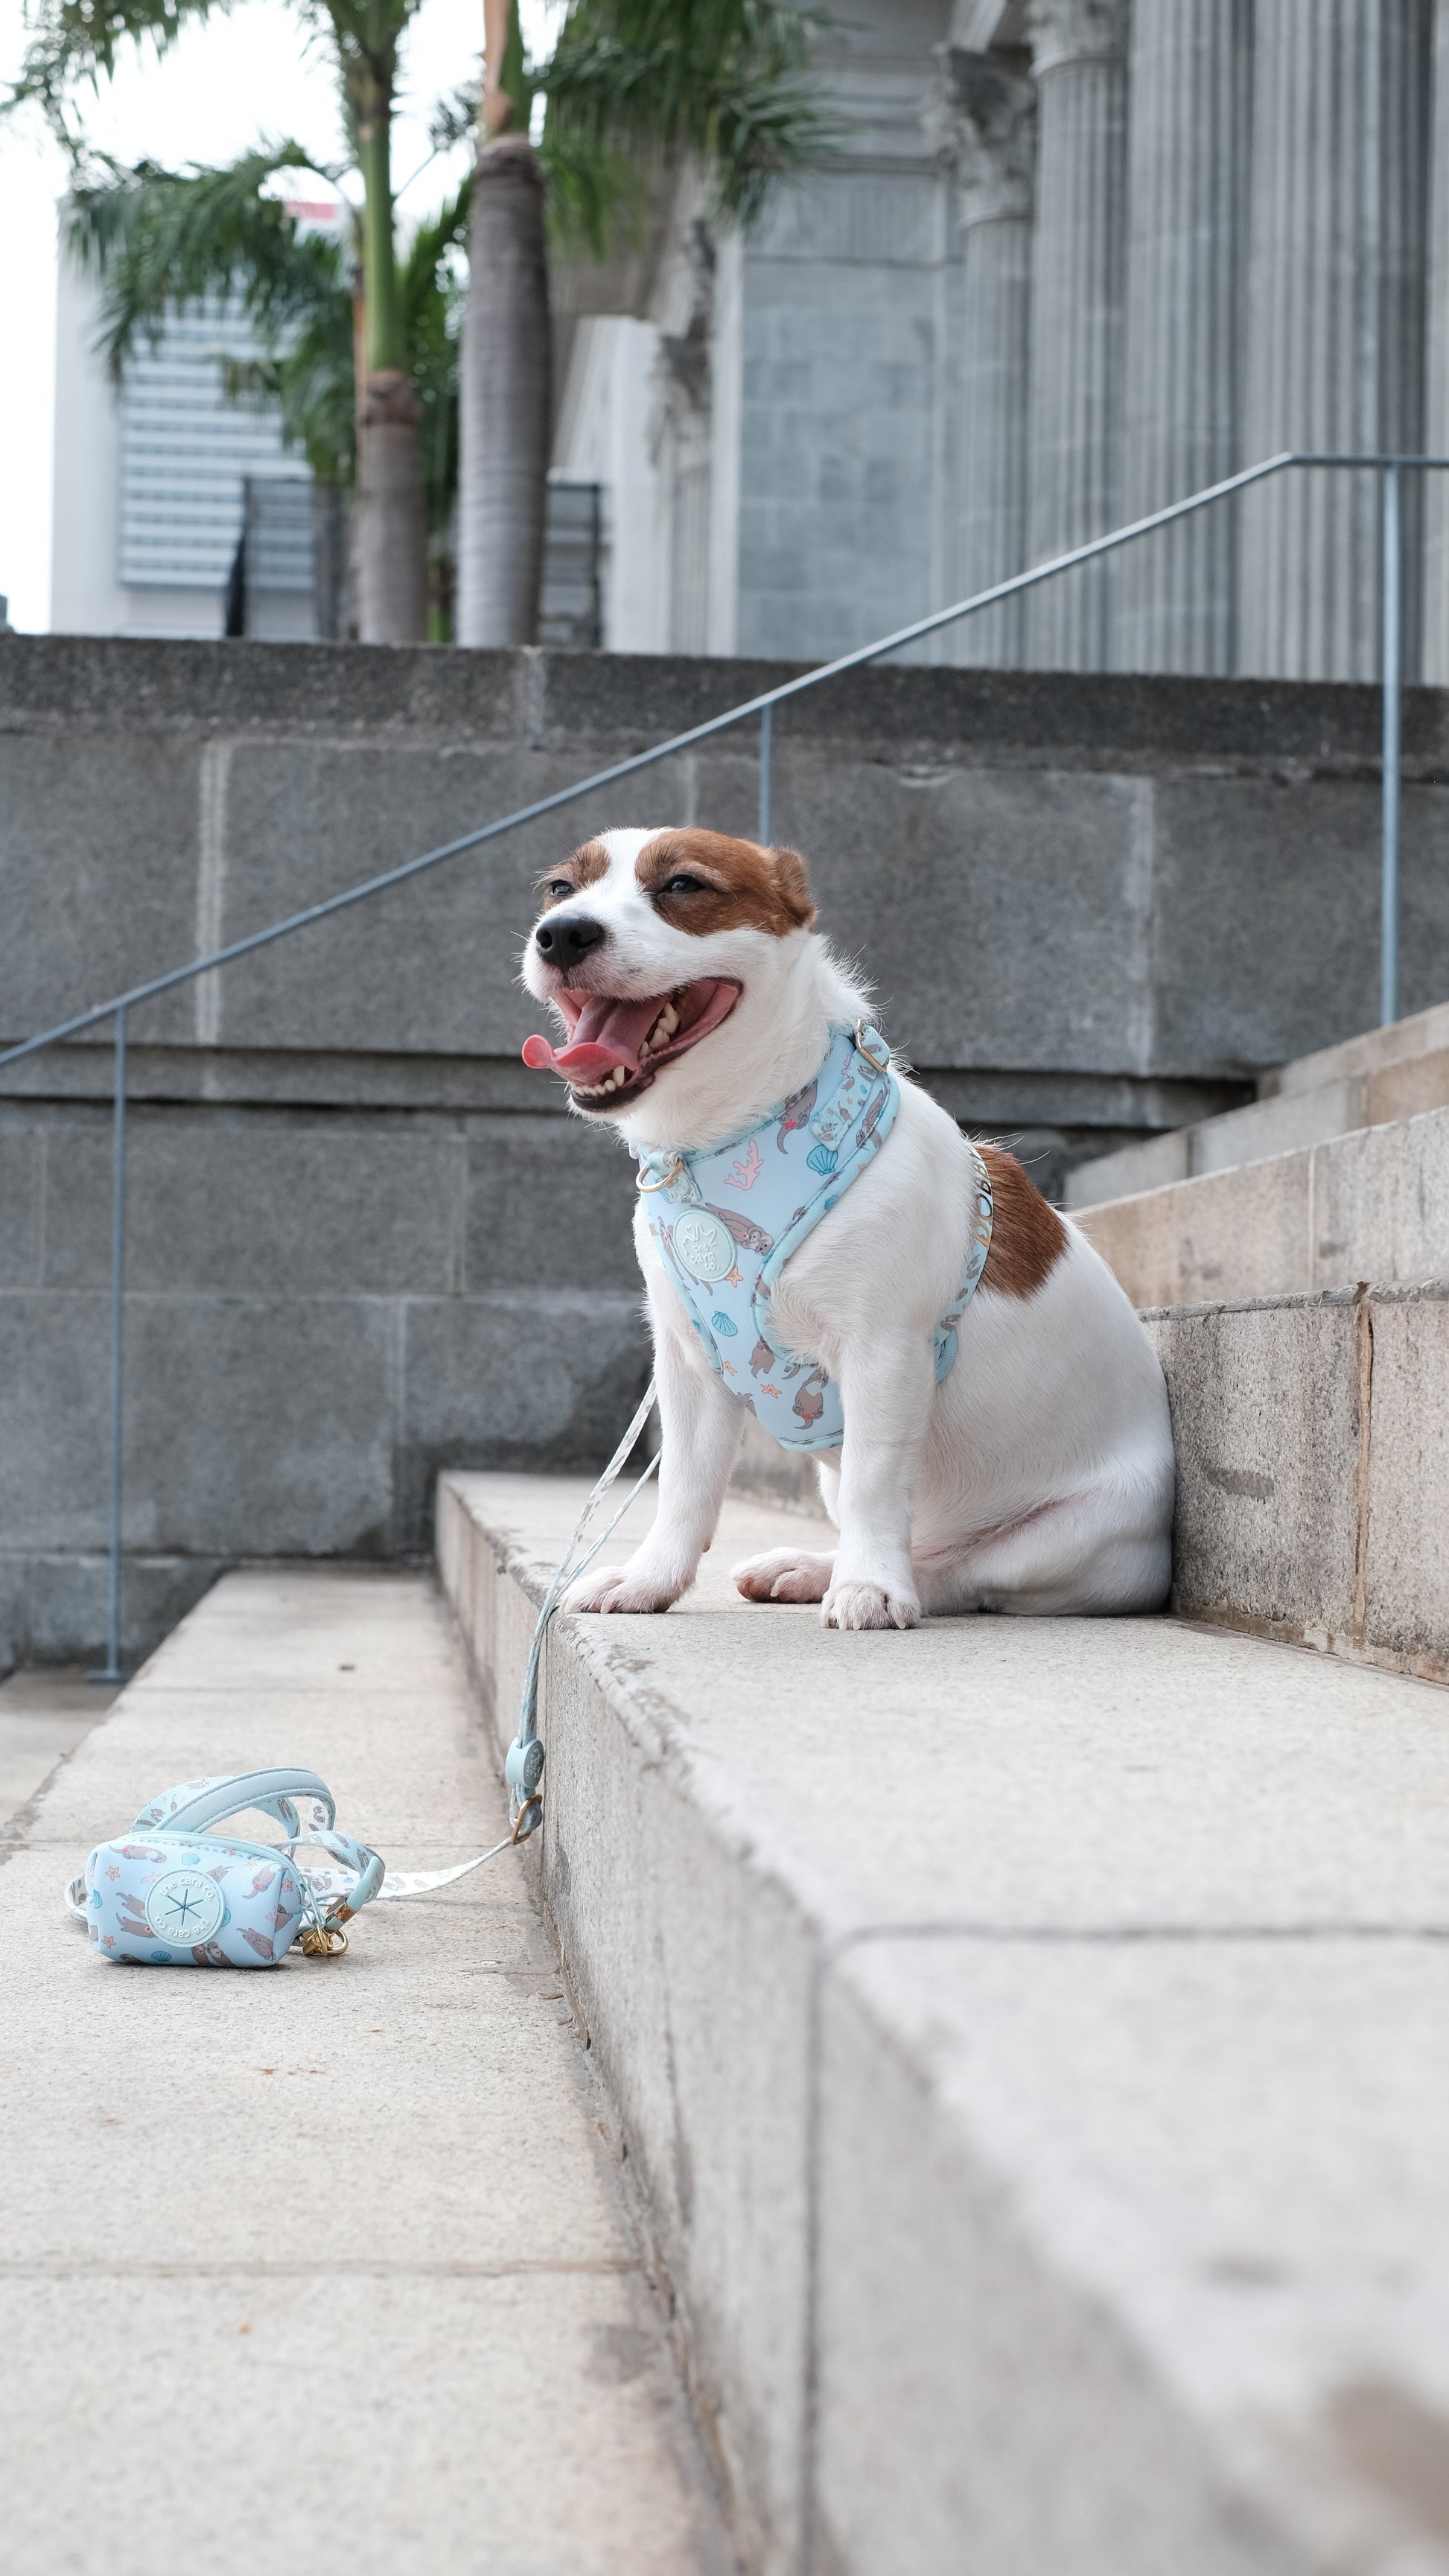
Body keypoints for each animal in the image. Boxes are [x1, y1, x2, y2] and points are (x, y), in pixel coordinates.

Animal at [522, 824, 1179, 1628]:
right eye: (560, 889)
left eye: (682, 885)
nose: (562, 933)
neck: (723, 1139)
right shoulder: (689, 1366)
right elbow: (682, 1489)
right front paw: (650, 1580)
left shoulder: (883, 1352)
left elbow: (875, 1477)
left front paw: (870, 1586)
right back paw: (808, 1568)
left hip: (1068, 1540)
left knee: (955, 1571)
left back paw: (870, 1579)